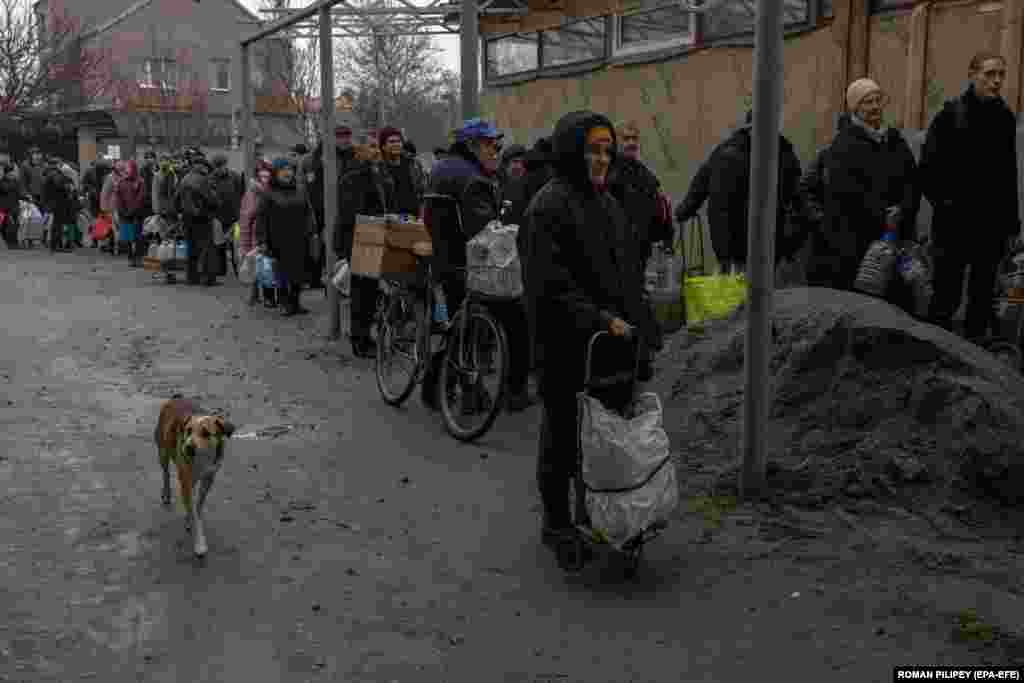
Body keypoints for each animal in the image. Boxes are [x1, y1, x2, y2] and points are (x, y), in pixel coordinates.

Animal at [153, 397, 235, 557]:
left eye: (206, 433)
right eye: (188, 431)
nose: (188, 447)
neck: (202, 459)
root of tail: (176, 397)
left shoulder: (209, 478)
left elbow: (198, 505)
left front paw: (192, 517)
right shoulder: (185, 481)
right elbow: (193, 512)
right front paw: (199, 544)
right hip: (163, 452)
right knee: (166, 474)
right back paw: (166, 494)